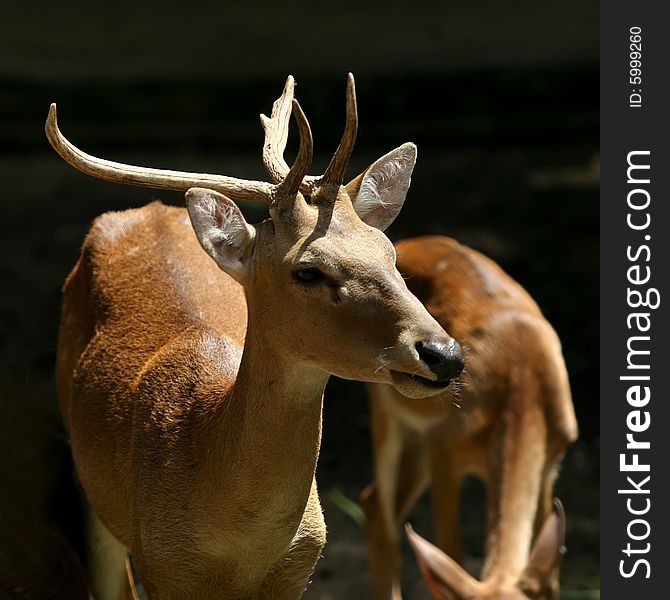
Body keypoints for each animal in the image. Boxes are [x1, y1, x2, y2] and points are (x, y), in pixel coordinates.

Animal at [48, 76, 468, 600]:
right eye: (307, 270)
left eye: (390, 252)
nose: (443, 353)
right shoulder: (163, 564)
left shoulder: (298, 566)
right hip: (88, 481)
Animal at [360, 237, 580, 596]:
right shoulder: (445, 451)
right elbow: (453, 554)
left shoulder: (552, 461)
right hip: (387, 413)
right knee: (382, 513)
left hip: (419, 441)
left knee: (374, 502)